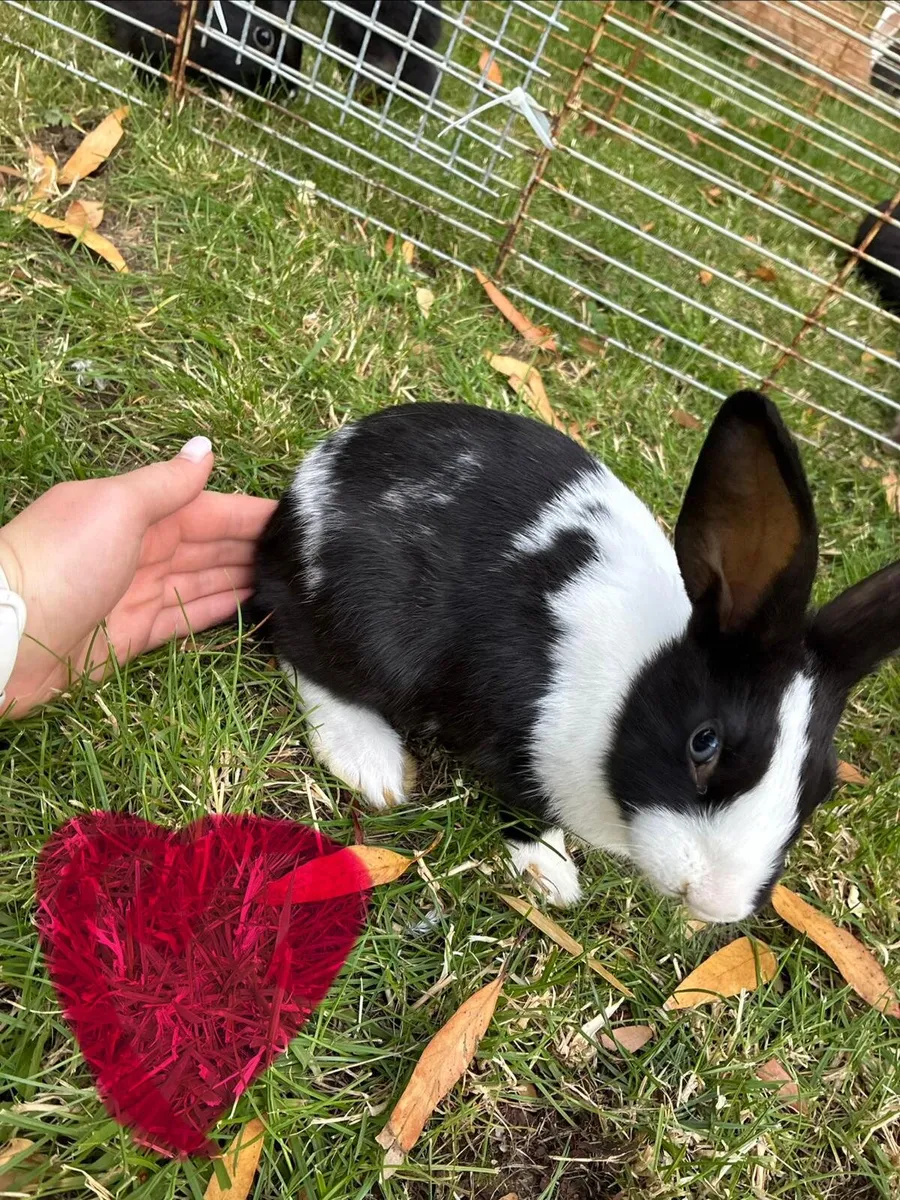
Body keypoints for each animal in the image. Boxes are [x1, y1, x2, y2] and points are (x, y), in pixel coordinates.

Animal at [253, 393, 900, 923]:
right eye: (705, 743)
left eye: (823, 786)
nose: (715, 902)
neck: (632, 689)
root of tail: (306, 488)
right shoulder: (513, 741)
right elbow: (525, 807)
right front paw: (552, 876)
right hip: (361, 625)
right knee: (298, 648)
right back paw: (372, 765)